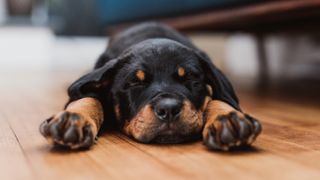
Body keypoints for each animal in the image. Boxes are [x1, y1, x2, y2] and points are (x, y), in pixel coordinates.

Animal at [40, 22, 262, 152]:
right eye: (135, 82)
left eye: (190, 79)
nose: (169, 109)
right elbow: (88, 98)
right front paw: (71, 120)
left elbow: (217, 99)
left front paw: (228, 120)